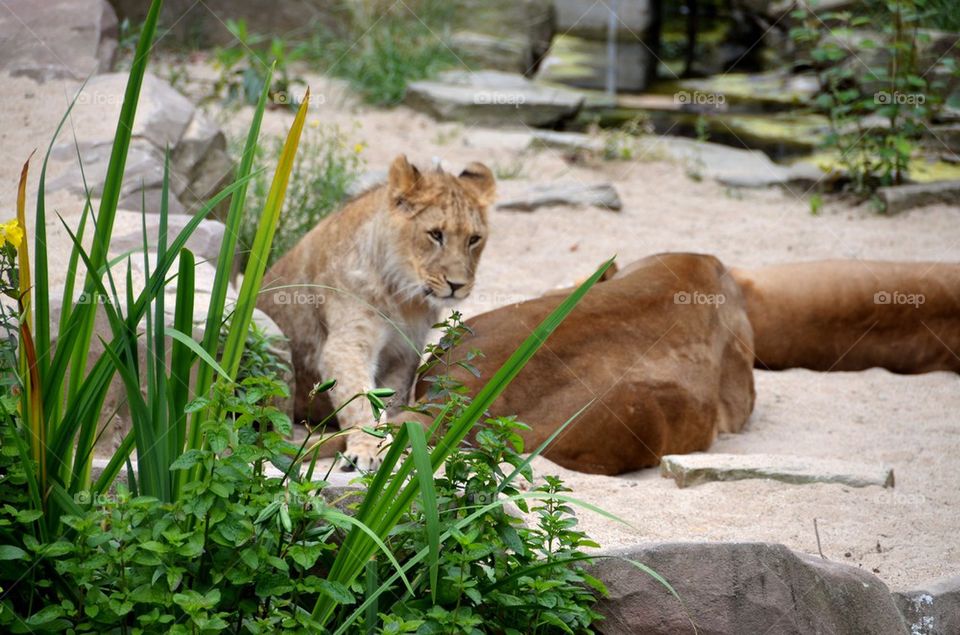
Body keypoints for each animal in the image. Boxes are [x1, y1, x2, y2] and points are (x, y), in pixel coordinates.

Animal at [257, 155, 495, 470]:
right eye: (436, 235)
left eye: (474, 239)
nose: (457, 285)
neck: (405, 297)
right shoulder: (347, 343)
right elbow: (361, 399)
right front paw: (370, 448)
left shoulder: (403, 353)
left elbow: (390, 399)